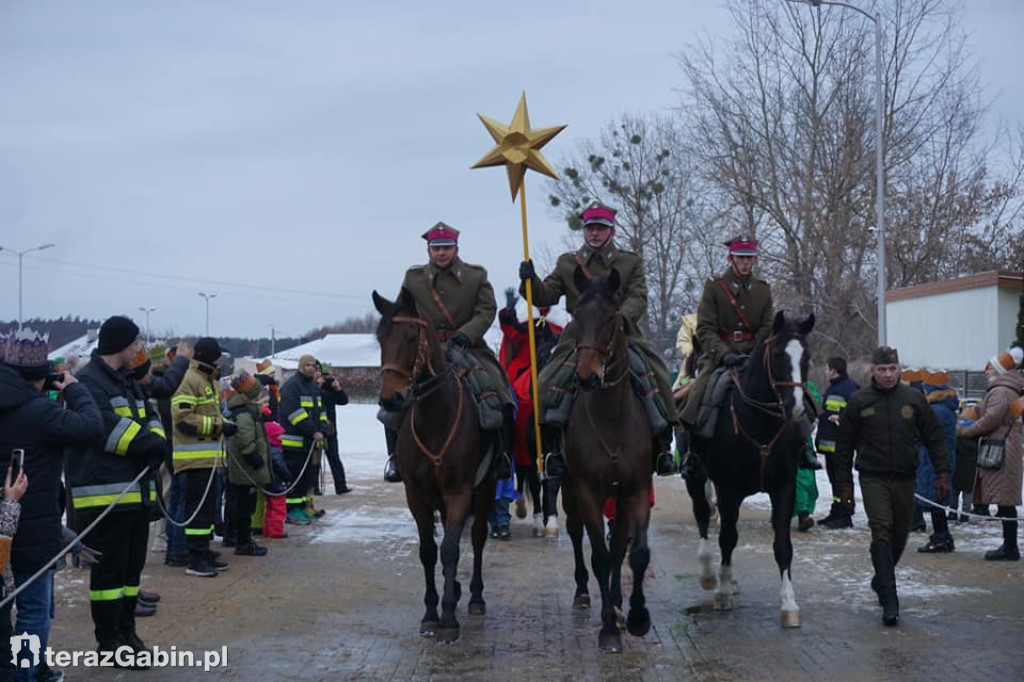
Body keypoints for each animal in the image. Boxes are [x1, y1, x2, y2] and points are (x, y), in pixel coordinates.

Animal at [374, 288, 497, 643]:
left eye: (412, 336)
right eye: (380, 337)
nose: (391, 399)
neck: (435, 418)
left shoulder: (460, 493)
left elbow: (452, 549)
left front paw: (448, 616)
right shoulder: (417, 496)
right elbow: (429, 551)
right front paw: (431, 613)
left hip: (487, 486)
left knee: (478, 536)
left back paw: (474, 596)